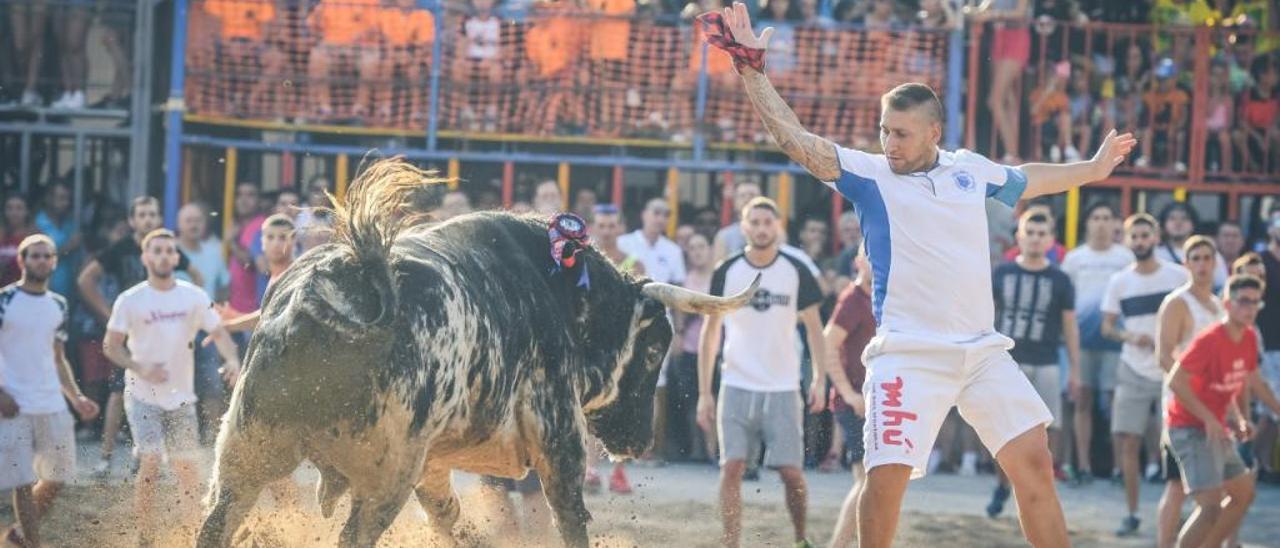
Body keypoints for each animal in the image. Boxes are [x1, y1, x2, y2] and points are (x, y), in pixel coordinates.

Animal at [197, 160, 757, 548]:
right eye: (656, 348)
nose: (640, 442)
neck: (560, 293)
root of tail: (348, 282)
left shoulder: (433, 464)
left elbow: (448, 518)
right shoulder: (559, 439)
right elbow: (570, 517)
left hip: (245, 450)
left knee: (217, 522)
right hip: (382, 477)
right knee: (353, 536)